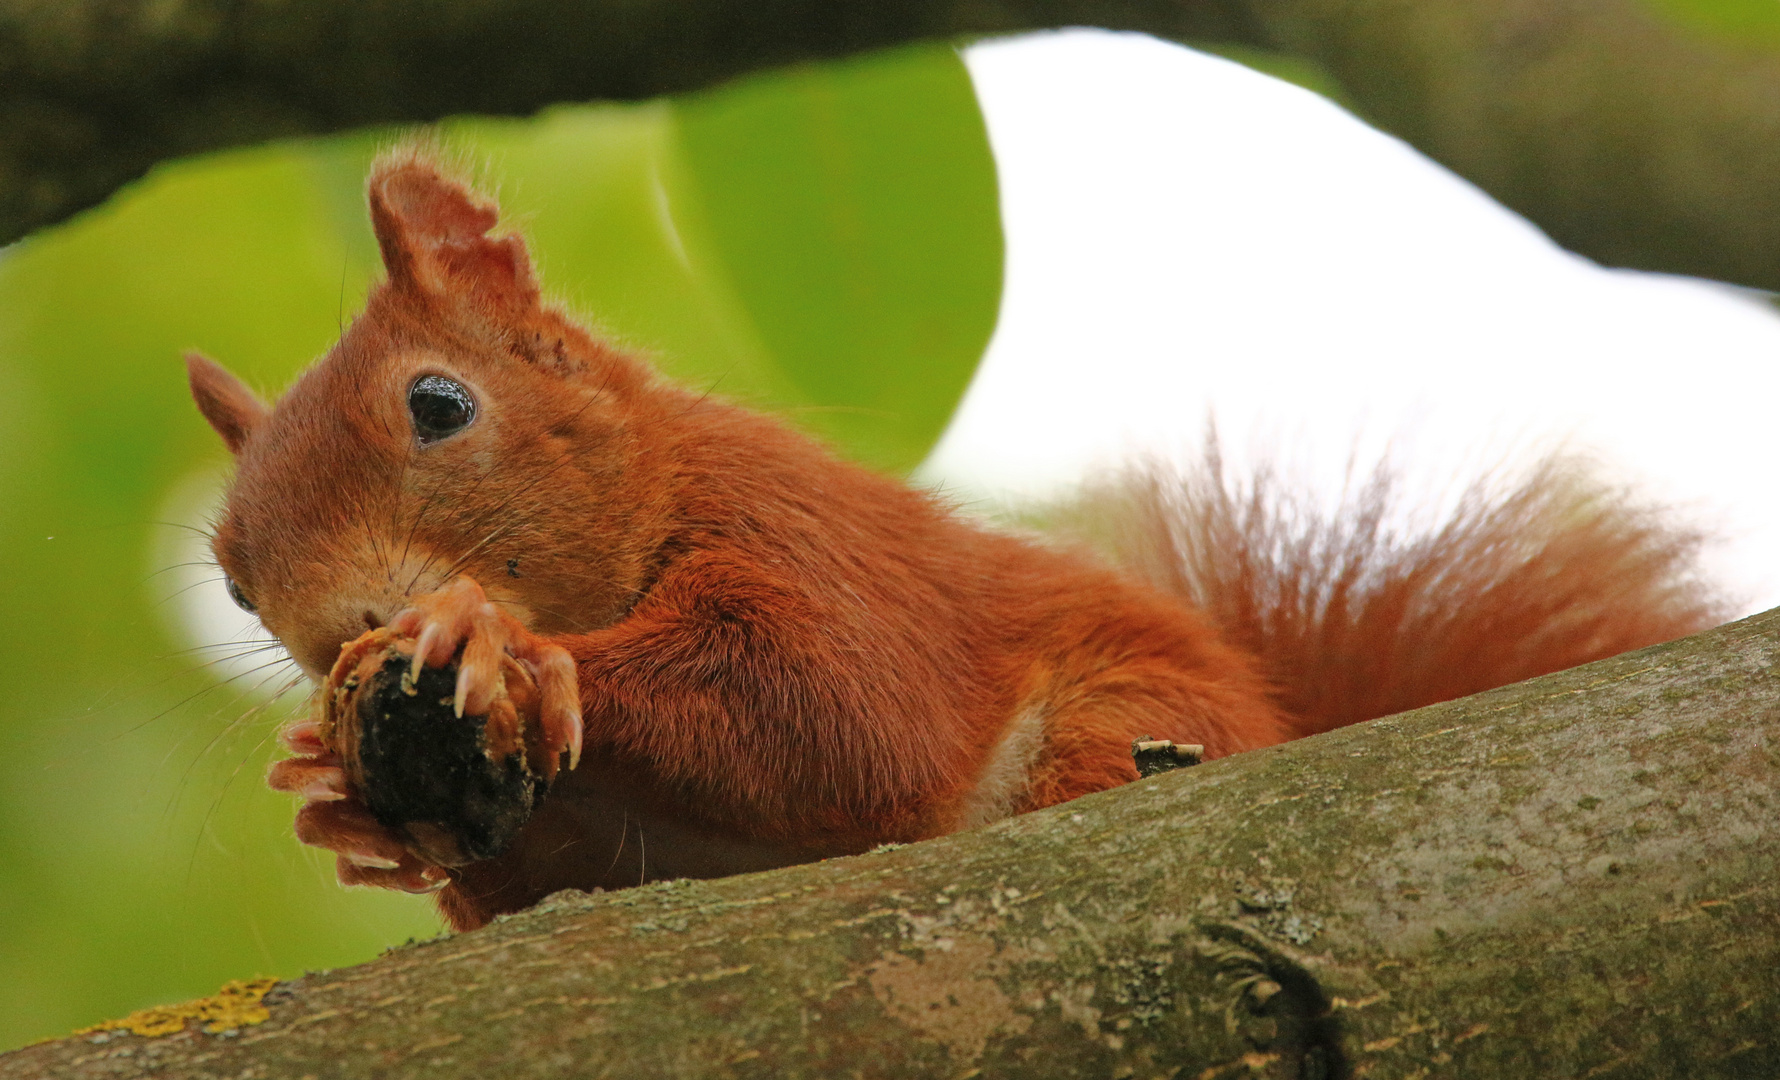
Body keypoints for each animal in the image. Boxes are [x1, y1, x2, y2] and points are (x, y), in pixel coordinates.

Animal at [184, 150, 1723, 932]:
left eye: (439, 406)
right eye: (235, 581)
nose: (340, 633)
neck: (657, 484)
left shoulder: (821, 543)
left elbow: (836, 707)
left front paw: (499, 646)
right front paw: (335, 794)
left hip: (1129, 707)